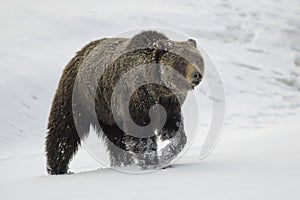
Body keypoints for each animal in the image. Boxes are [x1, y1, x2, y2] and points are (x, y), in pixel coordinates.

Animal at [45, 30, 204, 174]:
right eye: (182, 61)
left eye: (197, 59)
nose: (196, 75)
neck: (157, 87)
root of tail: (80, 52)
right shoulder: (136, 99)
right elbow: (140, 133)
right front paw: (152, 162)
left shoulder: (169, 103)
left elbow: (173, 129)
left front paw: (167, 153)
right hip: (80, 97)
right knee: (64, 130)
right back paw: (57, 168)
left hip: (107, 111)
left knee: (116, 140)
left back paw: (122, 161)